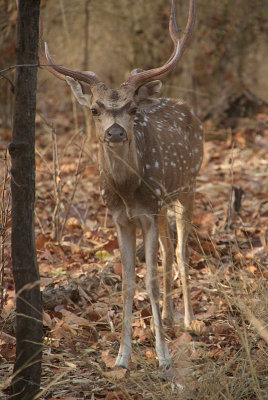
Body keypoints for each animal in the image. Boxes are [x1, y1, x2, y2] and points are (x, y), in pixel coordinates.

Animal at [39, 0, 203, 368]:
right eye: (95, 109)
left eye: (130, 108)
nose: (115, 133)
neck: (128, 192)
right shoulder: (121, 218)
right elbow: (128, 283)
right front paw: (122, 357)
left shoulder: (148, 211)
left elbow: (150, 281)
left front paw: (163, 358)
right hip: (164, 201)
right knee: (168, 249)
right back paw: (169, 316)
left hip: (188, 185)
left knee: (181, 251)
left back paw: (187, 320)